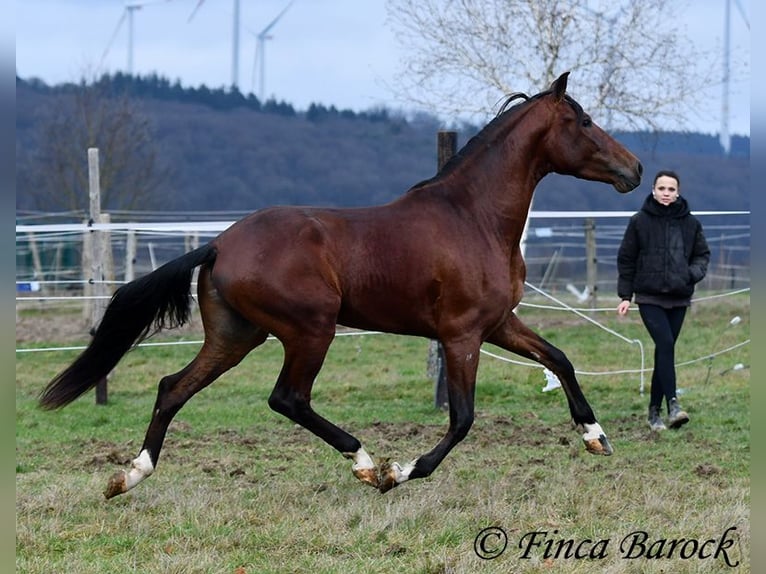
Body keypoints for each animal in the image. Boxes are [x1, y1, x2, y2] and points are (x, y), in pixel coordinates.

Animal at [40, 72, 642, 499]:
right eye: (584, 121)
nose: (634, 170)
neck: (473, 217)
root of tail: (220, 244)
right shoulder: (462, 335)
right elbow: (463, 419)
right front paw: (401, 471)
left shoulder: (498, 323)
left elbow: (560, 359)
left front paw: (596, 437)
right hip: (311, 330)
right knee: (287, 398)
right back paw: (365, 463)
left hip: (236, 337)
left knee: (172, 388)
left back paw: (128, 477)